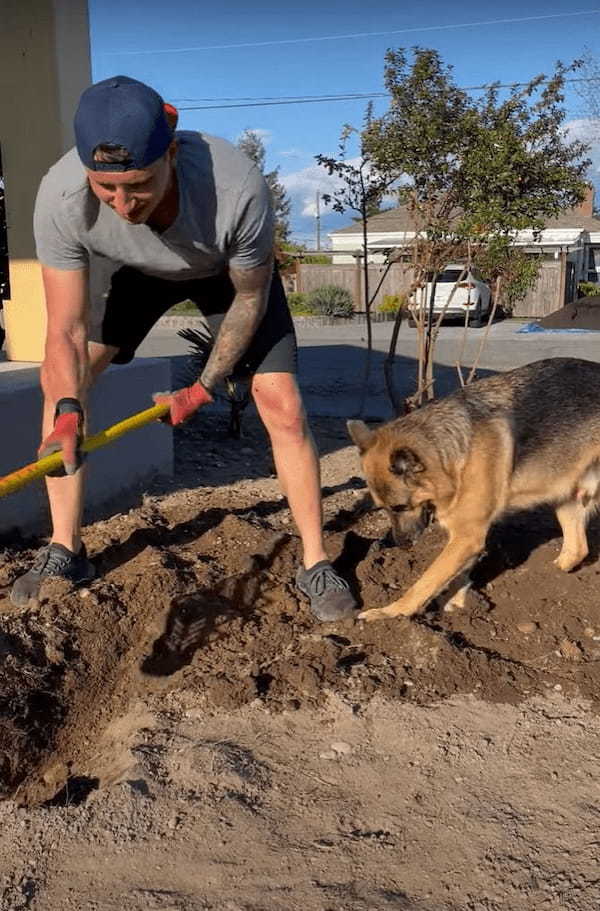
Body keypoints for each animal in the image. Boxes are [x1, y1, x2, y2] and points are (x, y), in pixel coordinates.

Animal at [350, 360, 600, 624]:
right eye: (384, 508)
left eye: (400, 507)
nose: (402, 545)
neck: (449, 455)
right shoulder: (466, 536)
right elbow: (459, 574)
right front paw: (456, 603)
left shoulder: (468, 534)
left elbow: (425, 581)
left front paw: (393, 612)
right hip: (568, 496)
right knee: (577, 549)